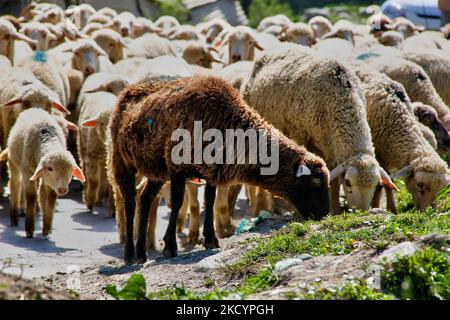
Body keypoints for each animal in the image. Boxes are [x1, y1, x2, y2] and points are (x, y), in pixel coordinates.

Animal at [241, 46, 396, 214]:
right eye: (348, 183)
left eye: (377, 185)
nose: (360, 211)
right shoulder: (299, 132)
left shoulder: (329, 144)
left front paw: (334, 208)